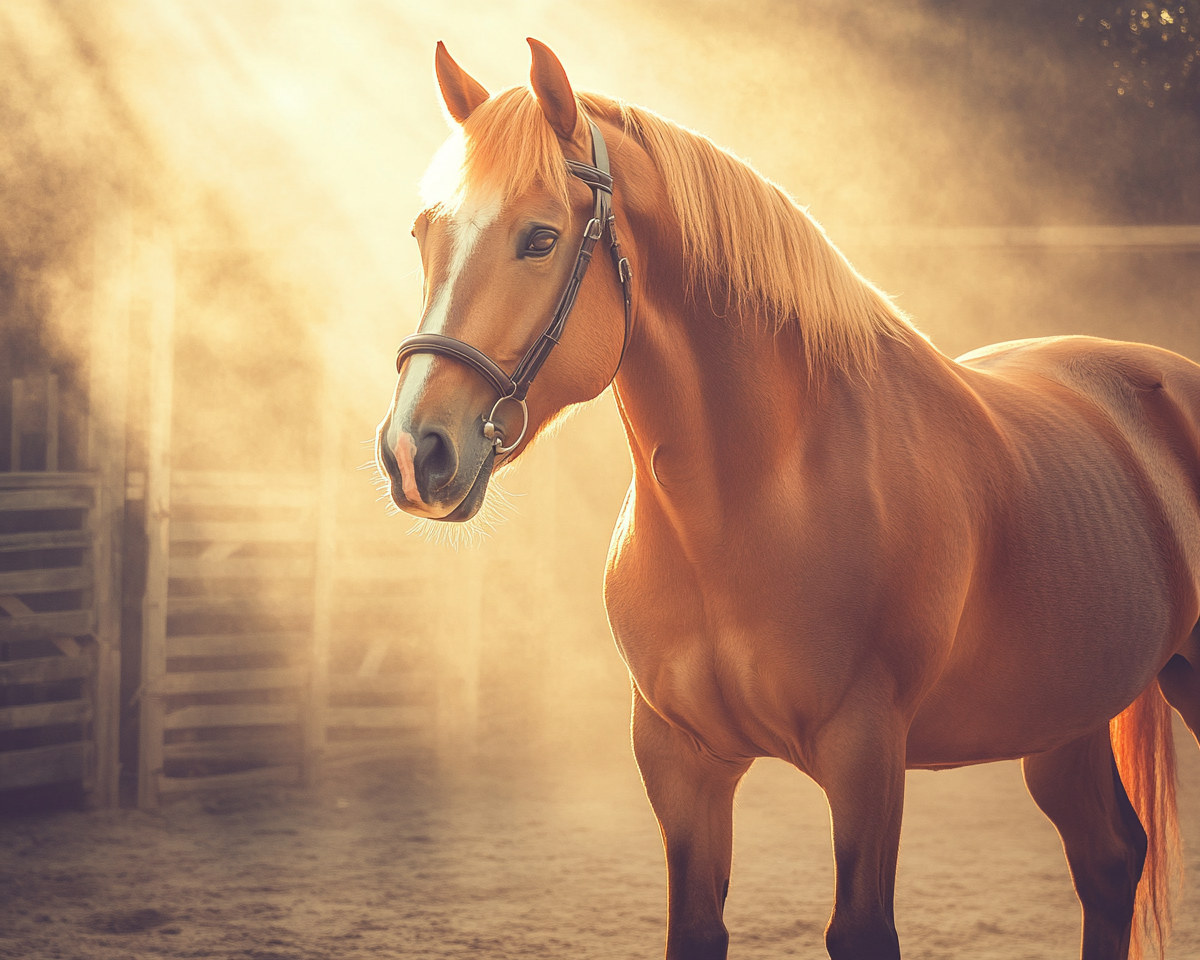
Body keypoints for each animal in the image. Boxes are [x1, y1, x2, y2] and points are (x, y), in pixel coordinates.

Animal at [374, 39, 1200, 960]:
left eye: (540, 237)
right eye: (425, 233)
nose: (413, 452)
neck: (758, 498)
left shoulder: (866, 755)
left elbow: (862, 929)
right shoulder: (680, 760)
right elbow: (696, 929)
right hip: (1060, 719)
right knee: (1108, 860)